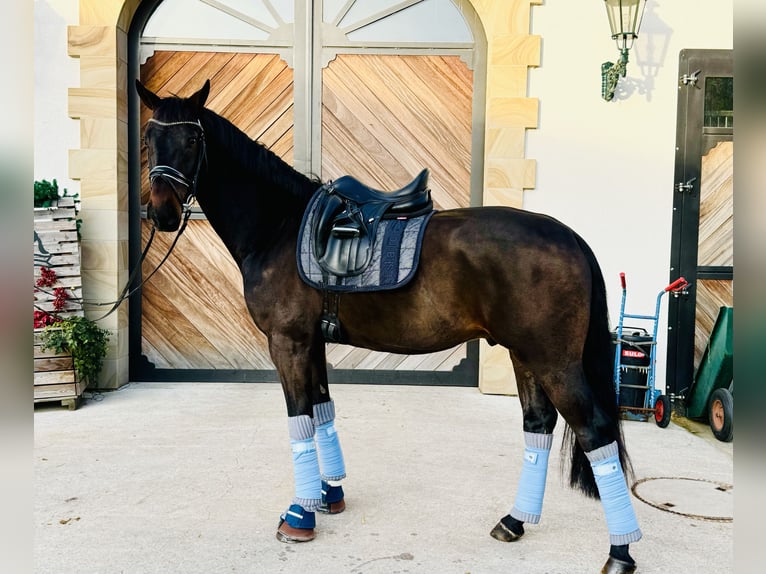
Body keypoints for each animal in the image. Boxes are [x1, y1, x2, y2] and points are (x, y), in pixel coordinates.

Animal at [136, 77, 640, 574]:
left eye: (193, 139)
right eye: (148, 138)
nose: (162, 213)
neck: (278, 227)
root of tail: (569, 236)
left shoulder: (288, 342)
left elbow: (300, 419)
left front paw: (299, 515)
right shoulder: (312, 342)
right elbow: (322, 409)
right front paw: (329, 496)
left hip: (554, 361)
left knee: (595, 431)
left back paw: (620, 553)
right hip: (525, 355)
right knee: (538, 423)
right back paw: (514, 521)